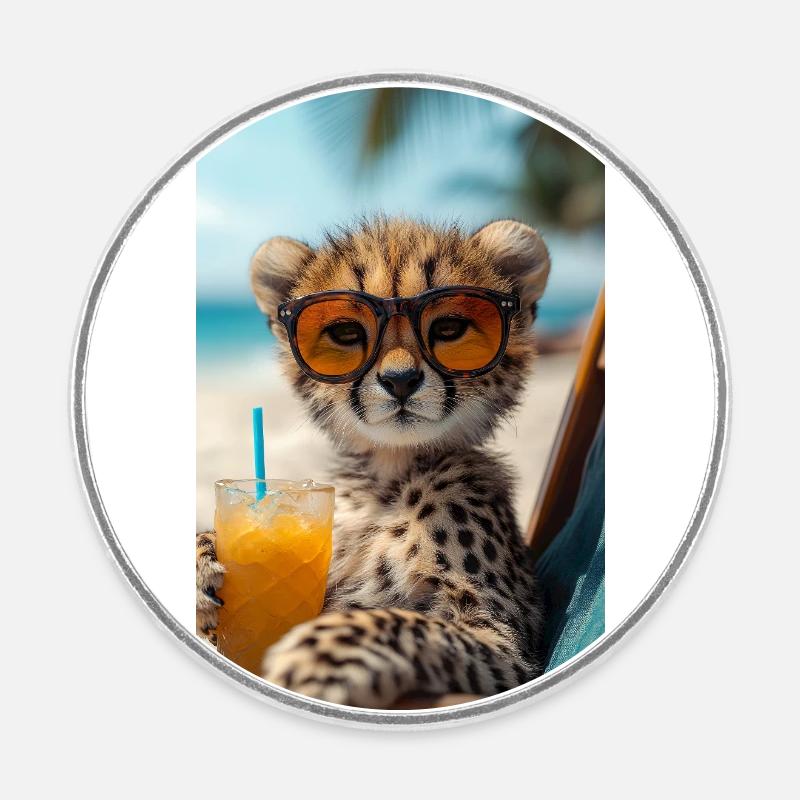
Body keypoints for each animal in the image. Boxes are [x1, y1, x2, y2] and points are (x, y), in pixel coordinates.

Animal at [196, 216, 551, 708]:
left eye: (449, 328)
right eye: (347, 334)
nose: (400, 380)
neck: (388, 477)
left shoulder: (508, 645)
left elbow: (407, 622)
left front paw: (320, 654)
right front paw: (202, 560)